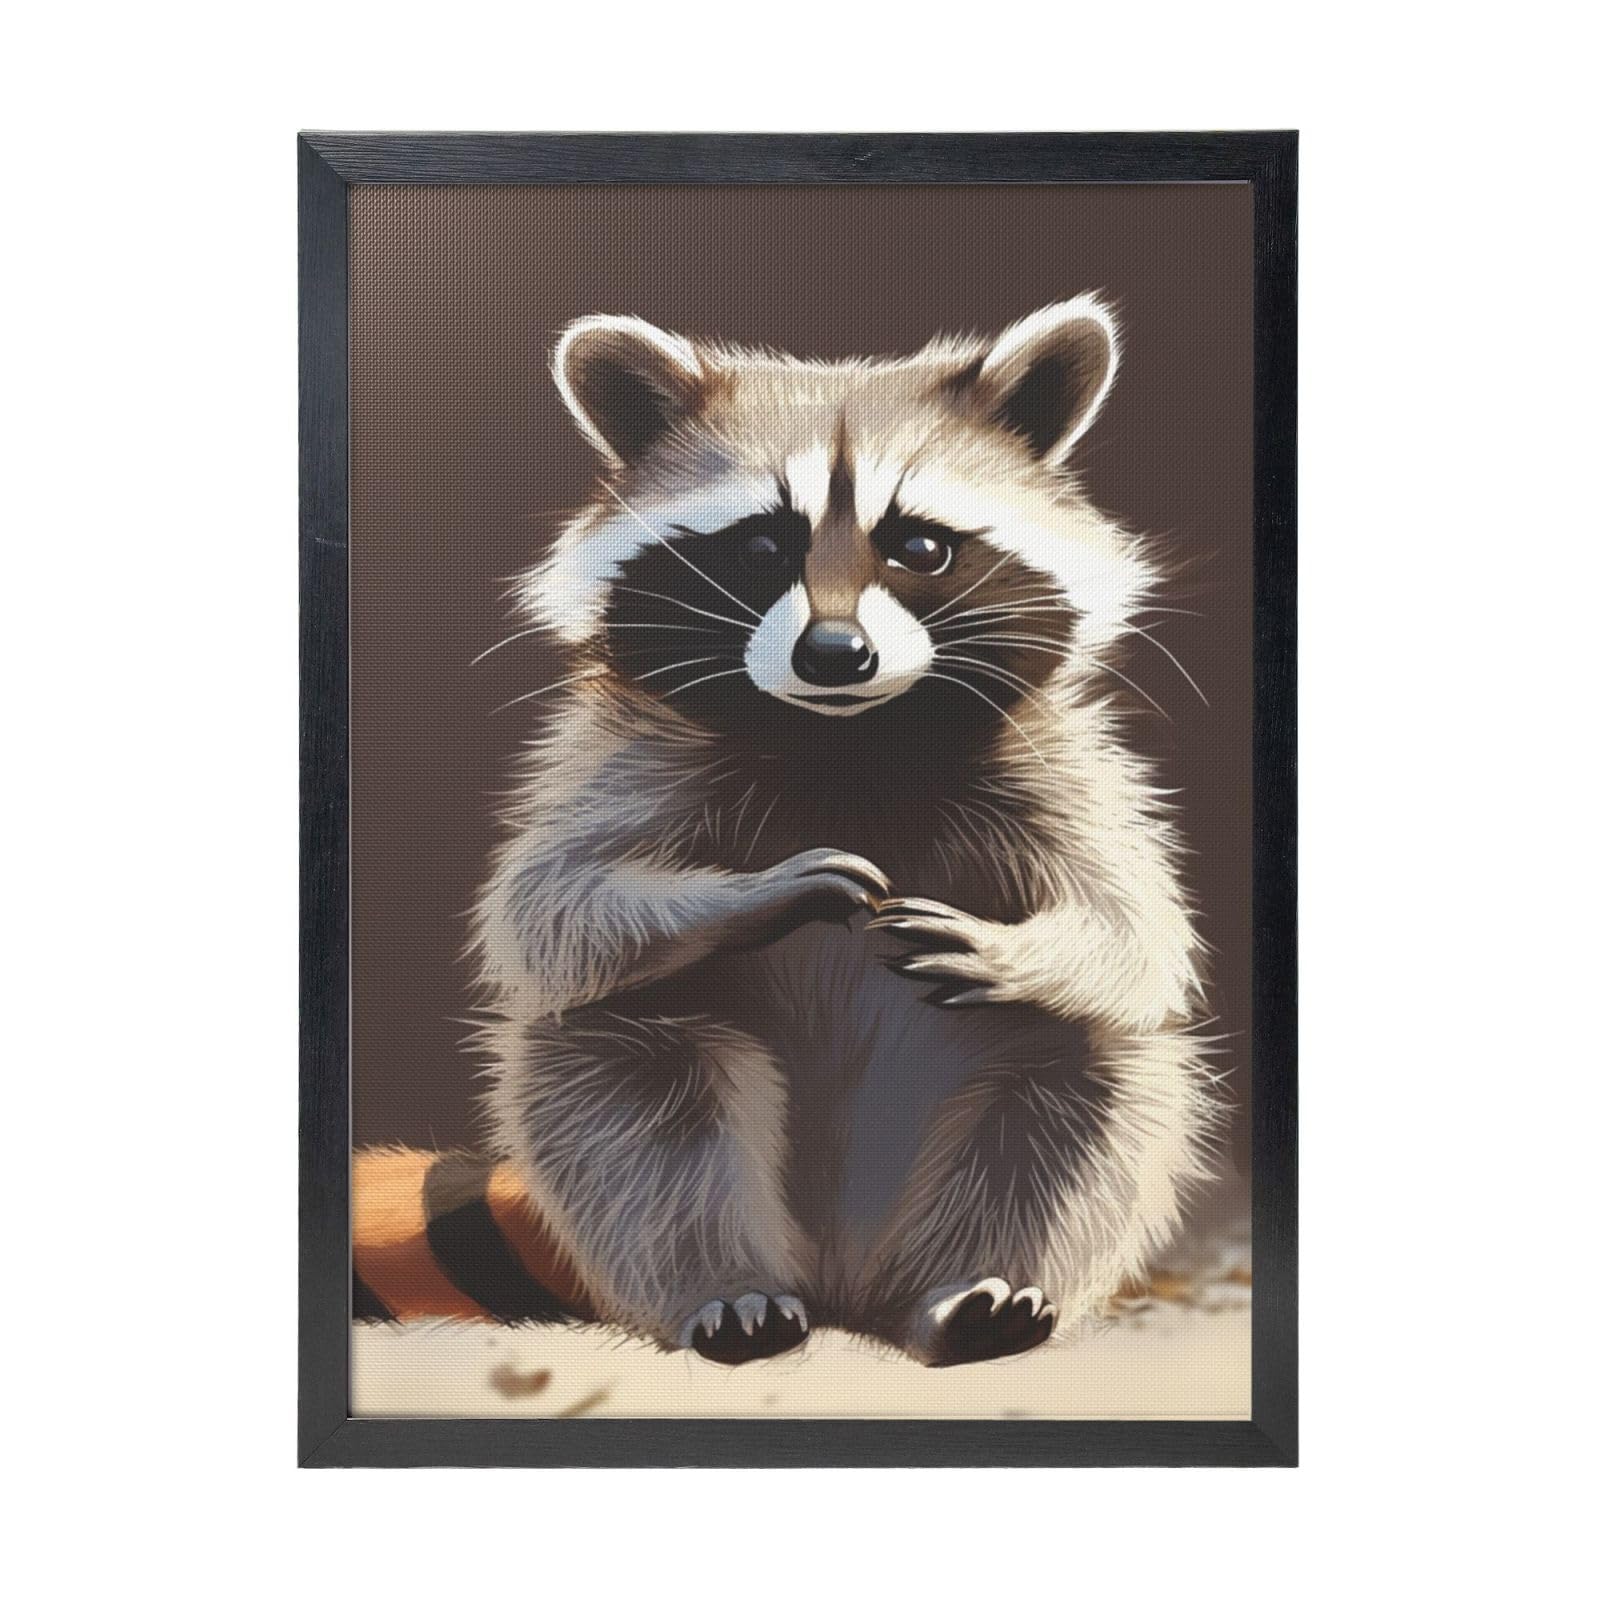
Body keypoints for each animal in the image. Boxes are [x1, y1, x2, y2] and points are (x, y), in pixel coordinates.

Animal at [472, 299, 1216, 1366]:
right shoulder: (626, 756)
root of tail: (844, 1280)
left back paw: (971, 1293)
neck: (848, 740)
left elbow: (1136, 933)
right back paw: (726, 1289)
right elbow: (554, 908)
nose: (834, 654)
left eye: (919, 548)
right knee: (634, 1104)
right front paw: (753, 894)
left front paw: (1017, 951)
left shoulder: (1061, 767)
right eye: (760, 547)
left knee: (1084, 1086)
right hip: (648, 1100)